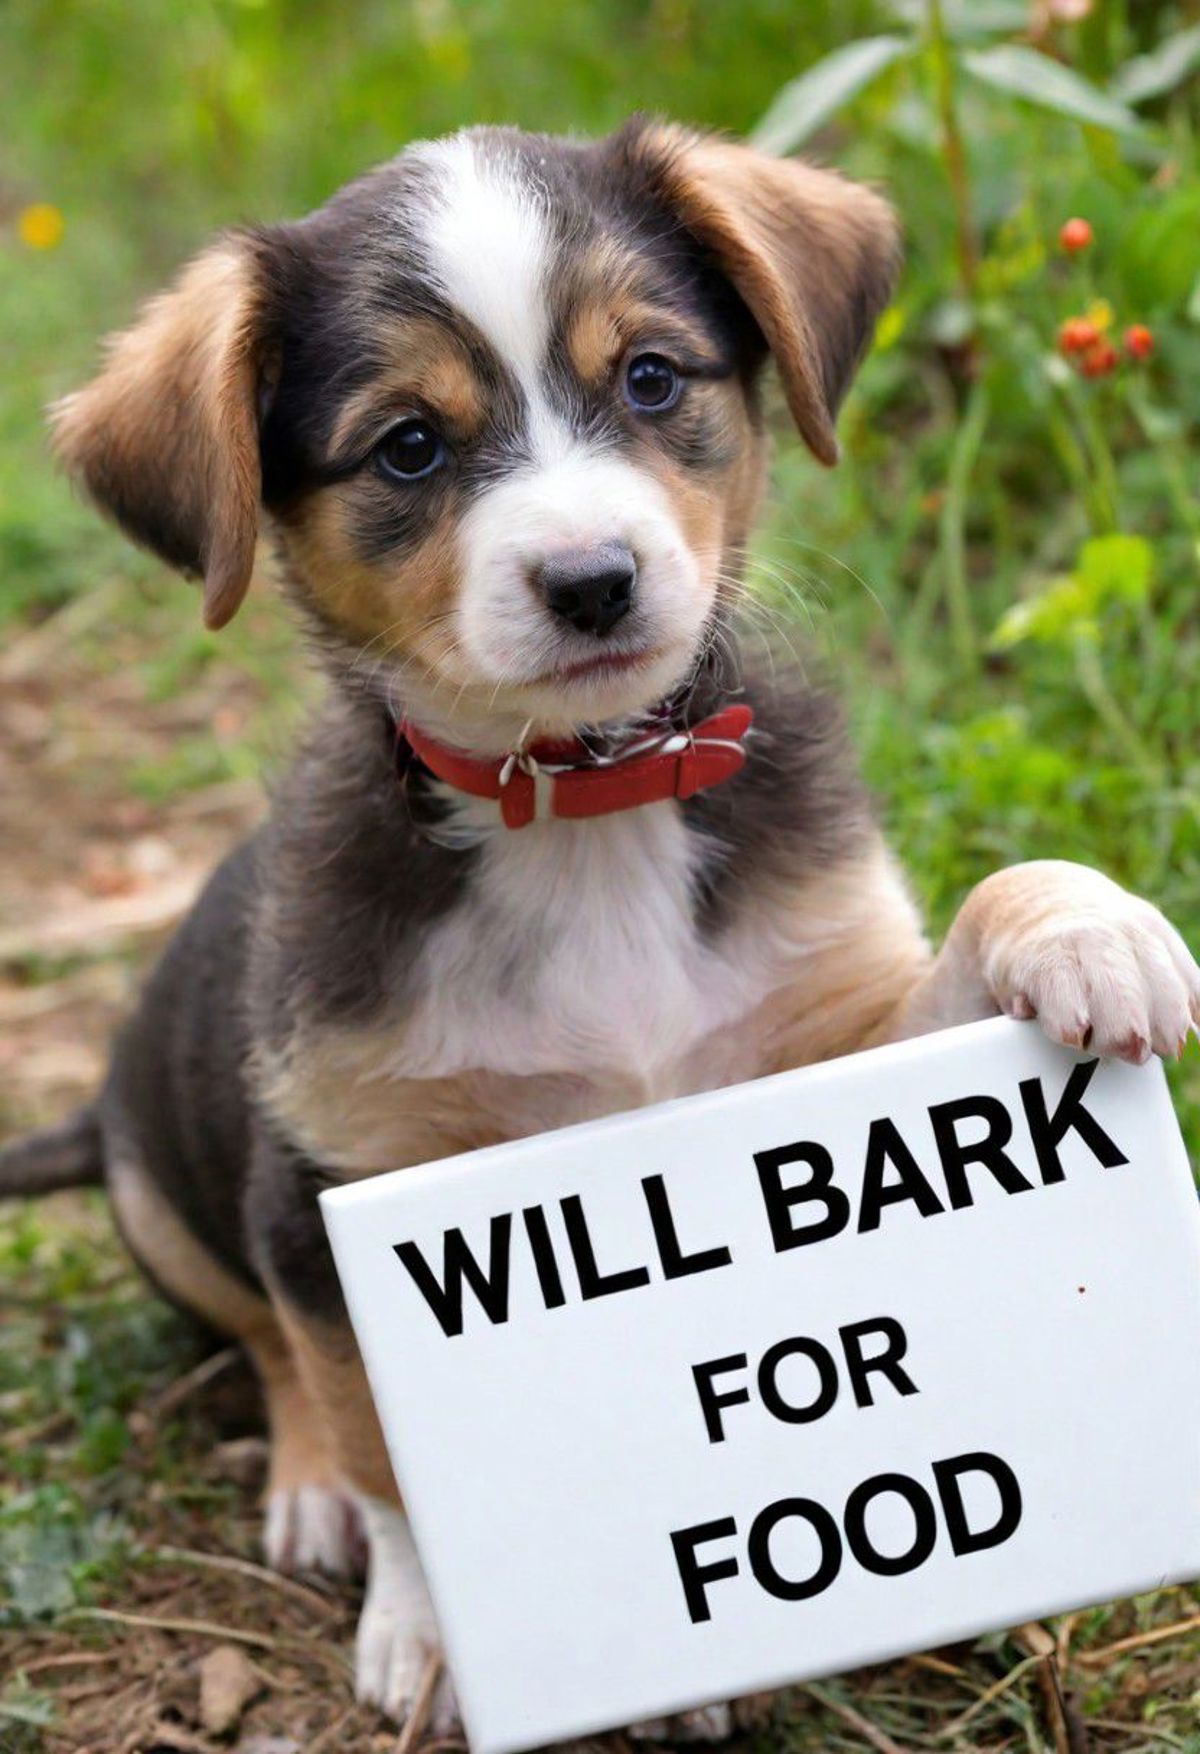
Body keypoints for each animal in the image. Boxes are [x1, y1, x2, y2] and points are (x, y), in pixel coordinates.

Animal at [2, 123, 1200, 1739]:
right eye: (409, 447)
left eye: (649, 377)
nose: (592, 581)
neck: (585, 803)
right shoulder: (335, 1189)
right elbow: (382, 1439)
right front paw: (437, 1630)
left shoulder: (821, 1036)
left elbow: (977, 922)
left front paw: (1084, 922)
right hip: (169, 1195)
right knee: (266, 1351)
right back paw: (304, 1493)